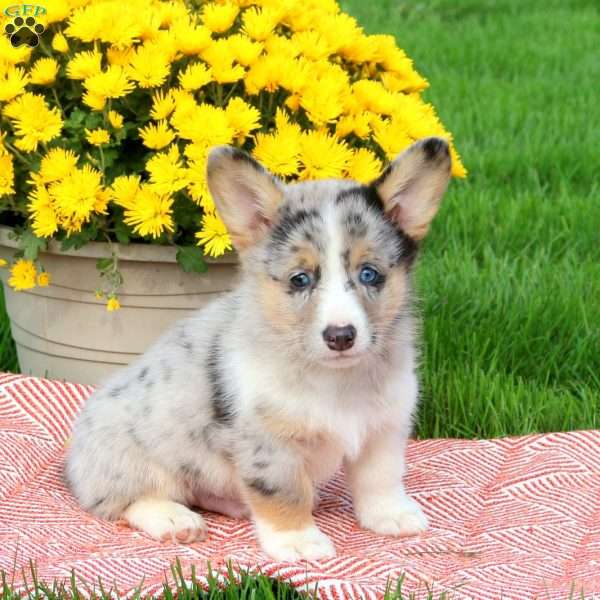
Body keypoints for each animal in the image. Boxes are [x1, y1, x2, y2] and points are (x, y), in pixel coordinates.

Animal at [64, 137, 450, 564]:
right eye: (300, 279)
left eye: (370, 274)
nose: (341, 336)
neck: (335, 379)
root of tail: (75, 454)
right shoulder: (269, 442)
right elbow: (283, 492)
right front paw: (298, 540)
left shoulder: (384, 426)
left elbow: (381, 478)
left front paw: (391, 516)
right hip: (128, 461)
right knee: (125, 500)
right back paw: (173, 519)